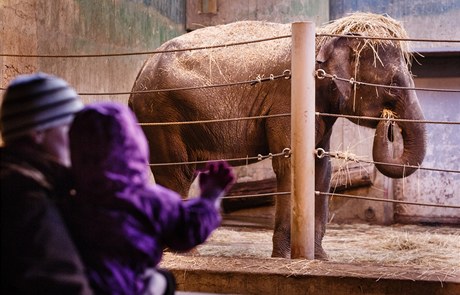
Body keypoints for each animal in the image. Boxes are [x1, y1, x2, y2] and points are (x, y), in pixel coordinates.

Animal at [127, 12, 426, 260]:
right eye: (393, 85)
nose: (388, 123)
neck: (326, 35)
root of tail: (141, 69)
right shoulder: (287, 100)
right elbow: (289, 165)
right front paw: (283, 257)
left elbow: (322, 169)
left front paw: (320, 258)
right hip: (162, 115)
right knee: (177, 174)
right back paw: (186, 252)